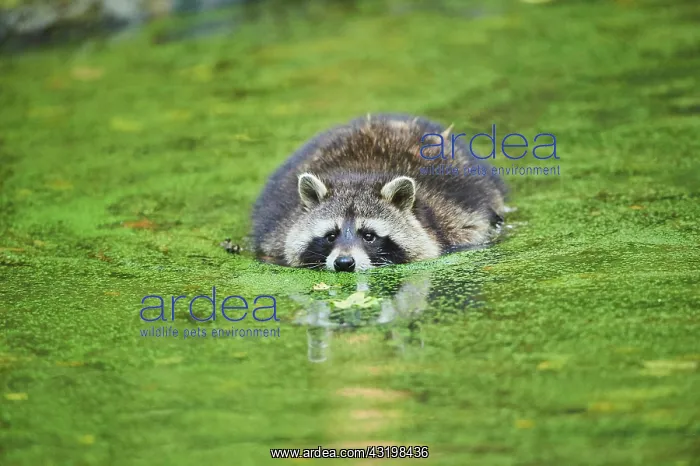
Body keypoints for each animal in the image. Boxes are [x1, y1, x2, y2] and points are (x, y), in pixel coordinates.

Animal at [251, 114, 506, 272]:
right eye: (331, 235)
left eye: (369, 235)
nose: (344, 263)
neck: (360, 175)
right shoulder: (276, 235)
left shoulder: (459, 222)